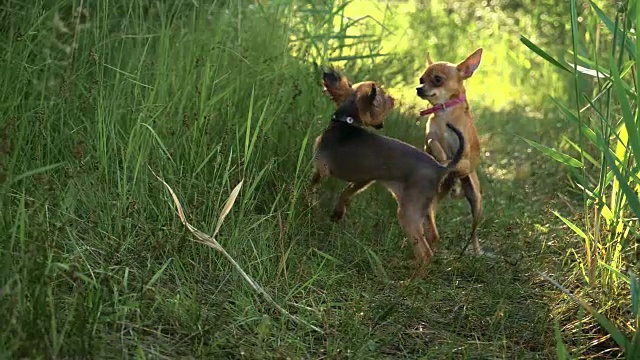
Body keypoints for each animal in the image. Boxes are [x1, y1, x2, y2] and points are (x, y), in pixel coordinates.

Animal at [308, 68, 464, 264]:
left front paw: (309, 202)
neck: (346, 121)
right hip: (425, 207)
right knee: (434, 237)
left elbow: (313, 185)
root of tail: (439, 167)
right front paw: (337, 213)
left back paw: (411, 271)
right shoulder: (366, 178)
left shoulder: (322, 168)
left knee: (425, 253)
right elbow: (347, 192)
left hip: (408, 213)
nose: (393, 98)